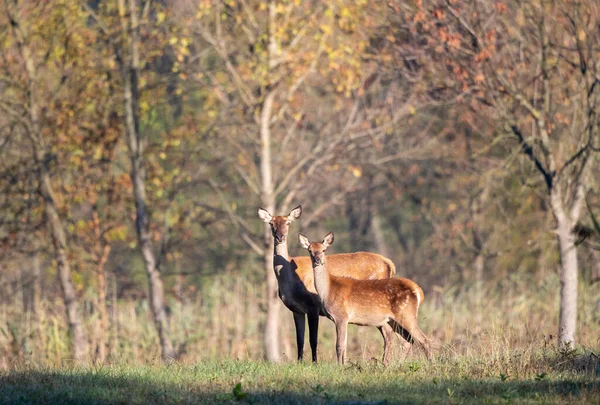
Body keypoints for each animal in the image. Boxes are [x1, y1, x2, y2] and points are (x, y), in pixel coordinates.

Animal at [256, 207, 400, 362]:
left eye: (288, 222)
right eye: (271, 223)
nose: (280, 237)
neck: (289, 282)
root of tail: (389, 264)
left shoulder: (312, 306)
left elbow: (313, 339)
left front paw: (315, 363)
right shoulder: (296, 310)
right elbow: (299, 340)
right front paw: (300, 362)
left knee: (390, 333)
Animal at [298, 230, 432, 366]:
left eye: (324, 250)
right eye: (310, 250)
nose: (317, 260)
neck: (329, 289)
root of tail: (418, 291)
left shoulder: (341, 316)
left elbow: (339, 345)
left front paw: (339, 367)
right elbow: (344, 345)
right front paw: (343, 365)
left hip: (407, 314)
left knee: (424, 340)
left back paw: (431, 364)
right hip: (394, 319)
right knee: (407, 341)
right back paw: (396, 365)